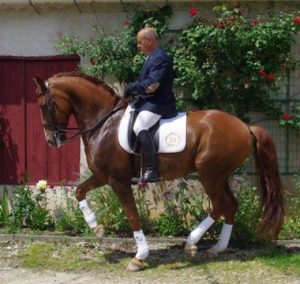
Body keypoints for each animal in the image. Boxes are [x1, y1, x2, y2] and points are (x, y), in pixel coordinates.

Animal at [32, 72, 284, 270]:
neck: (103, 123)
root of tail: (245, 126)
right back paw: (217, 247)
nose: (51, 140)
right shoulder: (103, 176)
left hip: (209, 175)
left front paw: (139, 256)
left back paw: (191, 243)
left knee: (221, 204)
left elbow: (132, 215)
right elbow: (79, 191)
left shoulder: (119, 181)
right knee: (230, 205)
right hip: (220, 176)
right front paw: (97, 229)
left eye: (44, 105)